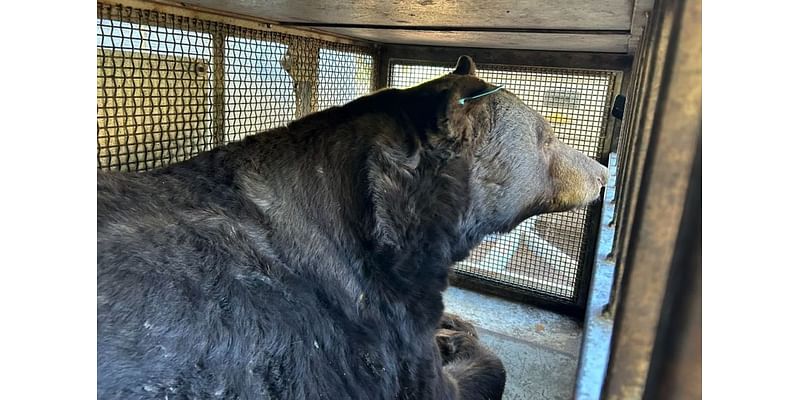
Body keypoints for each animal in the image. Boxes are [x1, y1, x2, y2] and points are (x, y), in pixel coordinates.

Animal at [97, 54, 608, 398]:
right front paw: (458, 339)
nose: (604, 172)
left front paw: (454, 324)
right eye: (547, 137)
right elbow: (448, 381)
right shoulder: (377, 315)